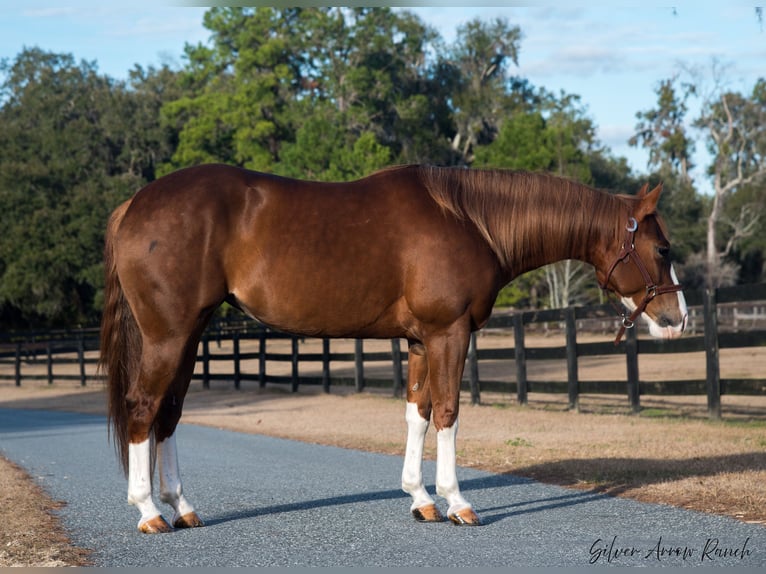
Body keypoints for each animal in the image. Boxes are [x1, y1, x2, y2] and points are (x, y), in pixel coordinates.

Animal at [99, 164, 688, 532]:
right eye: (663, 249)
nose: (677, 320)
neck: (470, 221)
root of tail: (135, 204)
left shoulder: (421, 340)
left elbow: (417, 414)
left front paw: (421, 500)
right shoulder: (449, 332)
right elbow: (448, 412)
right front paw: (457, 503)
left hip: (189, 334)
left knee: (170, 414)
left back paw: (182, 508)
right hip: (169, 335)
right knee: (144, 408)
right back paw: (148, 512)